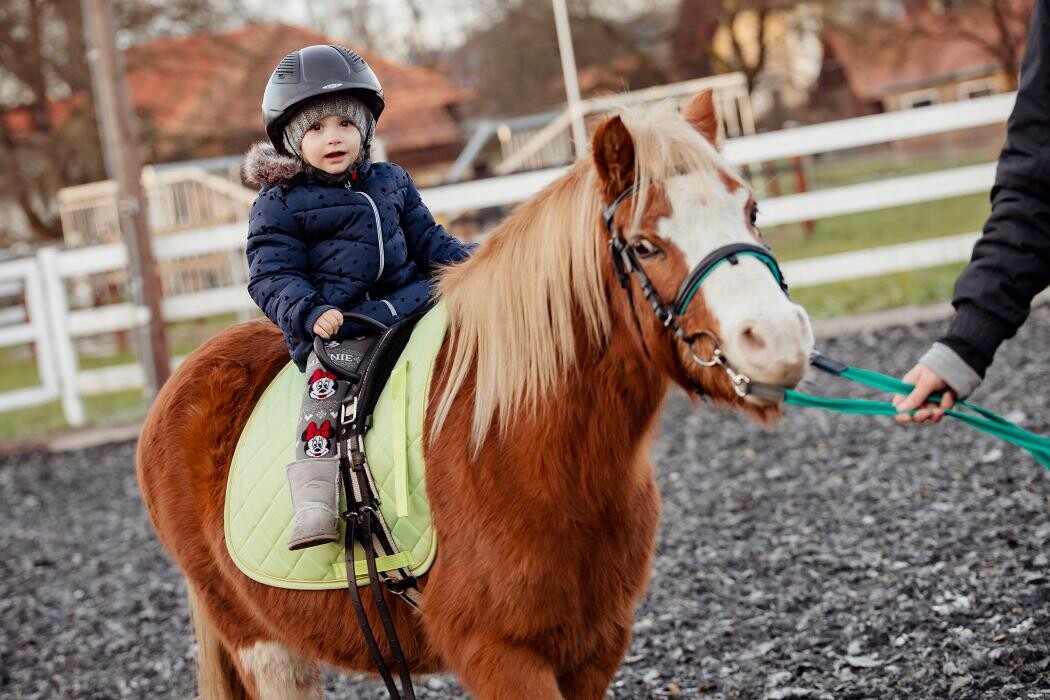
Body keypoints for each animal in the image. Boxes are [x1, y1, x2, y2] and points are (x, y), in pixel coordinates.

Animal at [137, 90, 810, 696]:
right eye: (645, 244)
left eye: (751, 212)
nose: (777, 339)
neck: (523, 446)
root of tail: (182, 383)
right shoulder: (501, 656)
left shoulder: (593, 648)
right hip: (264, 647)